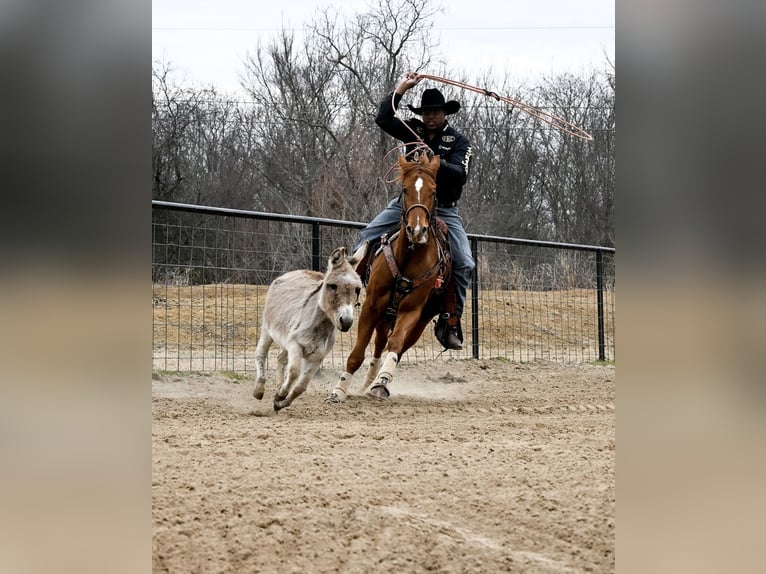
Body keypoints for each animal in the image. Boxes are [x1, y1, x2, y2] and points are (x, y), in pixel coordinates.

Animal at [253, 243, 368, 411]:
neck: (321, 327)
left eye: (357, 289)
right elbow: (294, 372)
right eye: (332, 286)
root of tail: (293, 272)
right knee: (260, 354)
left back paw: (279, 385)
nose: (346, 322)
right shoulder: (295, 345)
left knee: (280, 359)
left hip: (286, 339)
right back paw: (259, 390)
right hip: (267, 330)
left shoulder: (317, 356)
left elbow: (301, 386)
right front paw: (280, 395)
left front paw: (280, 402)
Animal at [326, 153, 451, 402]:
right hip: (384, 314)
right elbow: (357, 353)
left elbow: (396, 344)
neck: (409, 255)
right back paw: (366, 382)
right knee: (378, 344)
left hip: (419, 320)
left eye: (434, 191)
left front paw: (381, 382)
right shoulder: (372, 306)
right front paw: (339, 391)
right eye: (404, 189)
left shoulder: (411, 311)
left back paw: (375, 381)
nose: (417, 231)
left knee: (396, 347)